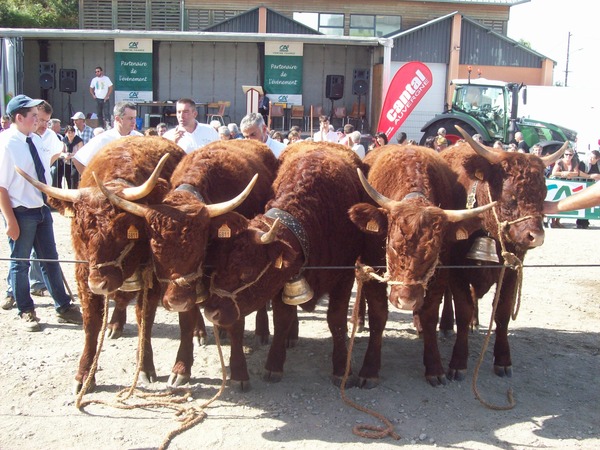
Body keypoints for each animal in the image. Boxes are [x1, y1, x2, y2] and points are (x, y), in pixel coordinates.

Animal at [18, 135, 185, 392]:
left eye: (123, 231)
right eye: (81, 230)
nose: (99, 284)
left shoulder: (153, 279)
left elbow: (144, 319)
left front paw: (144, 365)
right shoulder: (82, 273)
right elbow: (92, 324)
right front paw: (85, 374)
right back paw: (115, 324)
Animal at [96, 141, 278, 386]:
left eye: (199, 247)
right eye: (154, 248)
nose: (176, 301)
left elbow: (235, 323)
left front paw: (239, 372)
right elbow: (187, 321)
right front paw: (181, 367)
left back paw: (262, 330)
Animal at [202, 142, 384, 388]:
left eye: (247, 272)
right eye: (217, 264)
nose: (211, 312)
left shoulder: (343, 277)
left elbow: (336, 320)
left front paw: (340, 367)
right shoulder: (282, 281)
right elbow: (282, 319)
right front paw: (274, 364)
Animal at [350, 143, 494, 384]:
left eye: (433, 252)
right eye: (392, 247)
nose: (406, 301)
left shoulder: (440, 274)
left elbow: (429, 316)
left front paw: (434, 366)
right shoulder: (372, 265)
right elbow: (378, 315)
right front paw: (369, 369)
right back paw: (359, 319)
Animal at [438, 128, 564, 382]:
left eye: (543, 193)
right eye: (511, 195)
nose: (536, 236)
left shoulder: (512, 270)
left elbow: (503, 312)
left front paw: (503, 359)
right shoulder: (456, 269)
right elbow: (462, 309)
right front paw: (458, 361)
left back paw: (475, 322)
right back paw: (446, 324)